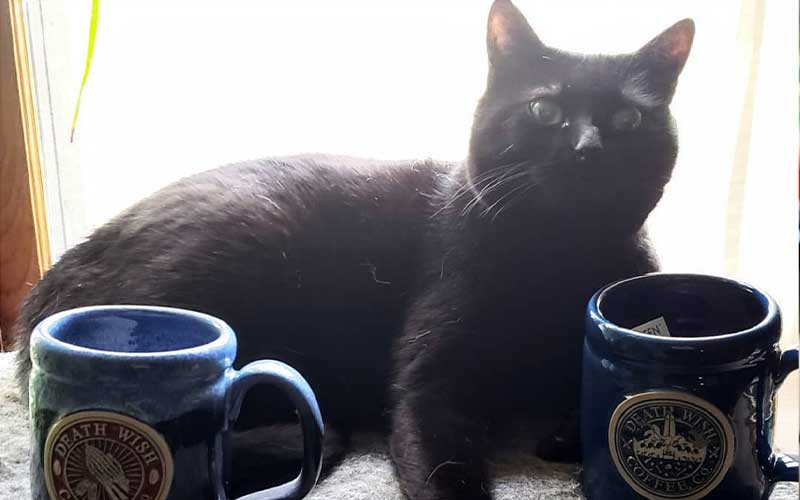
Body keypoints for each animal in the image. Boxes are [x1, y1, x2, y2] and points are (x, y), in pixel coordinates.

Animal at [17, 1, 692, 498]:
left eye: (628, 120)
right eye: (545, 109)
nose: (587, 149)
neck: (557, 258)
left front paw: (561, 433)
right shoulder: (428, 384)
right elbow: (447, 473)